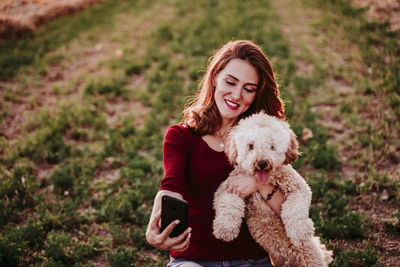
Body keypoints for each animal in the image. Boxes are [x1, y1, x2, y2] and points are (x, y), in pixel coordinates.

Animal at [214, 112, 332, 266]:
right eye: (251, 146)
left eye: (272, 146)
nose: (262, 163)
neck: (264, 181)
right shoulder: (228, 187)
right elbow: (229, 203)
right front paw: (225, 229)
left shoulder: (298, 187)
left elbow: (295, 208)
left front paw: (300, 233)